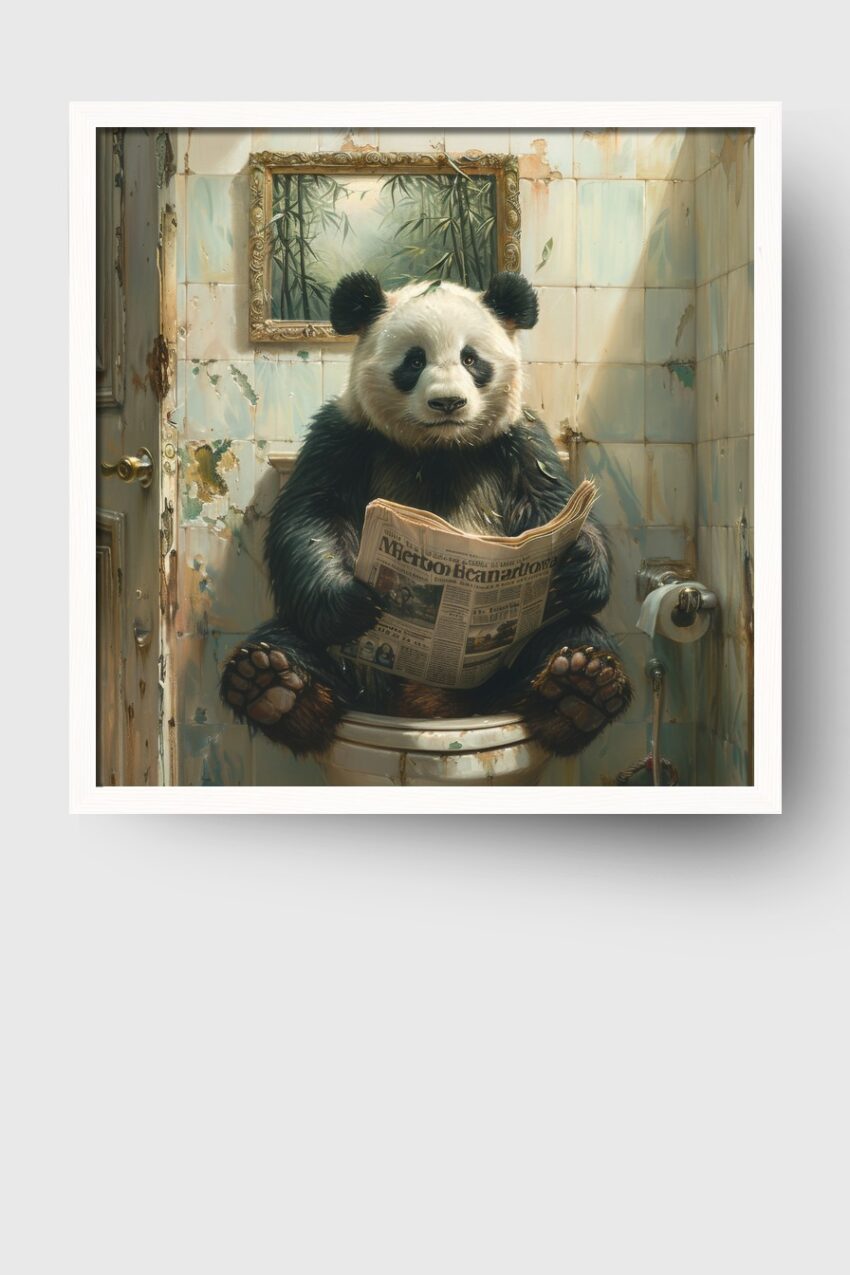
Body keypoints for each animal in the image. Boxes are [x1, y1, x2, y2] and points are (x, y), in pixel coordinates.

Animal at [220, 270, 632, 758]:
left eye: (471, 358)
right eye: (414, 361)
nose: (448, 403)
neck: (441, 449)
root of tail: (429, 706)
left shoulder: (520, 443)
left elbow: (553, 505)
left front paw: (579, 560)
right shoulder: (345, 437)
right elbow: (311, 517)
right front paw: (354, 599)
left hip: (507, 663)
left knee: (571, 634)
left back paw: (580, 689)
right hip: (350, 669)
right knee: (287, 639)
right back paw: (275, 688)